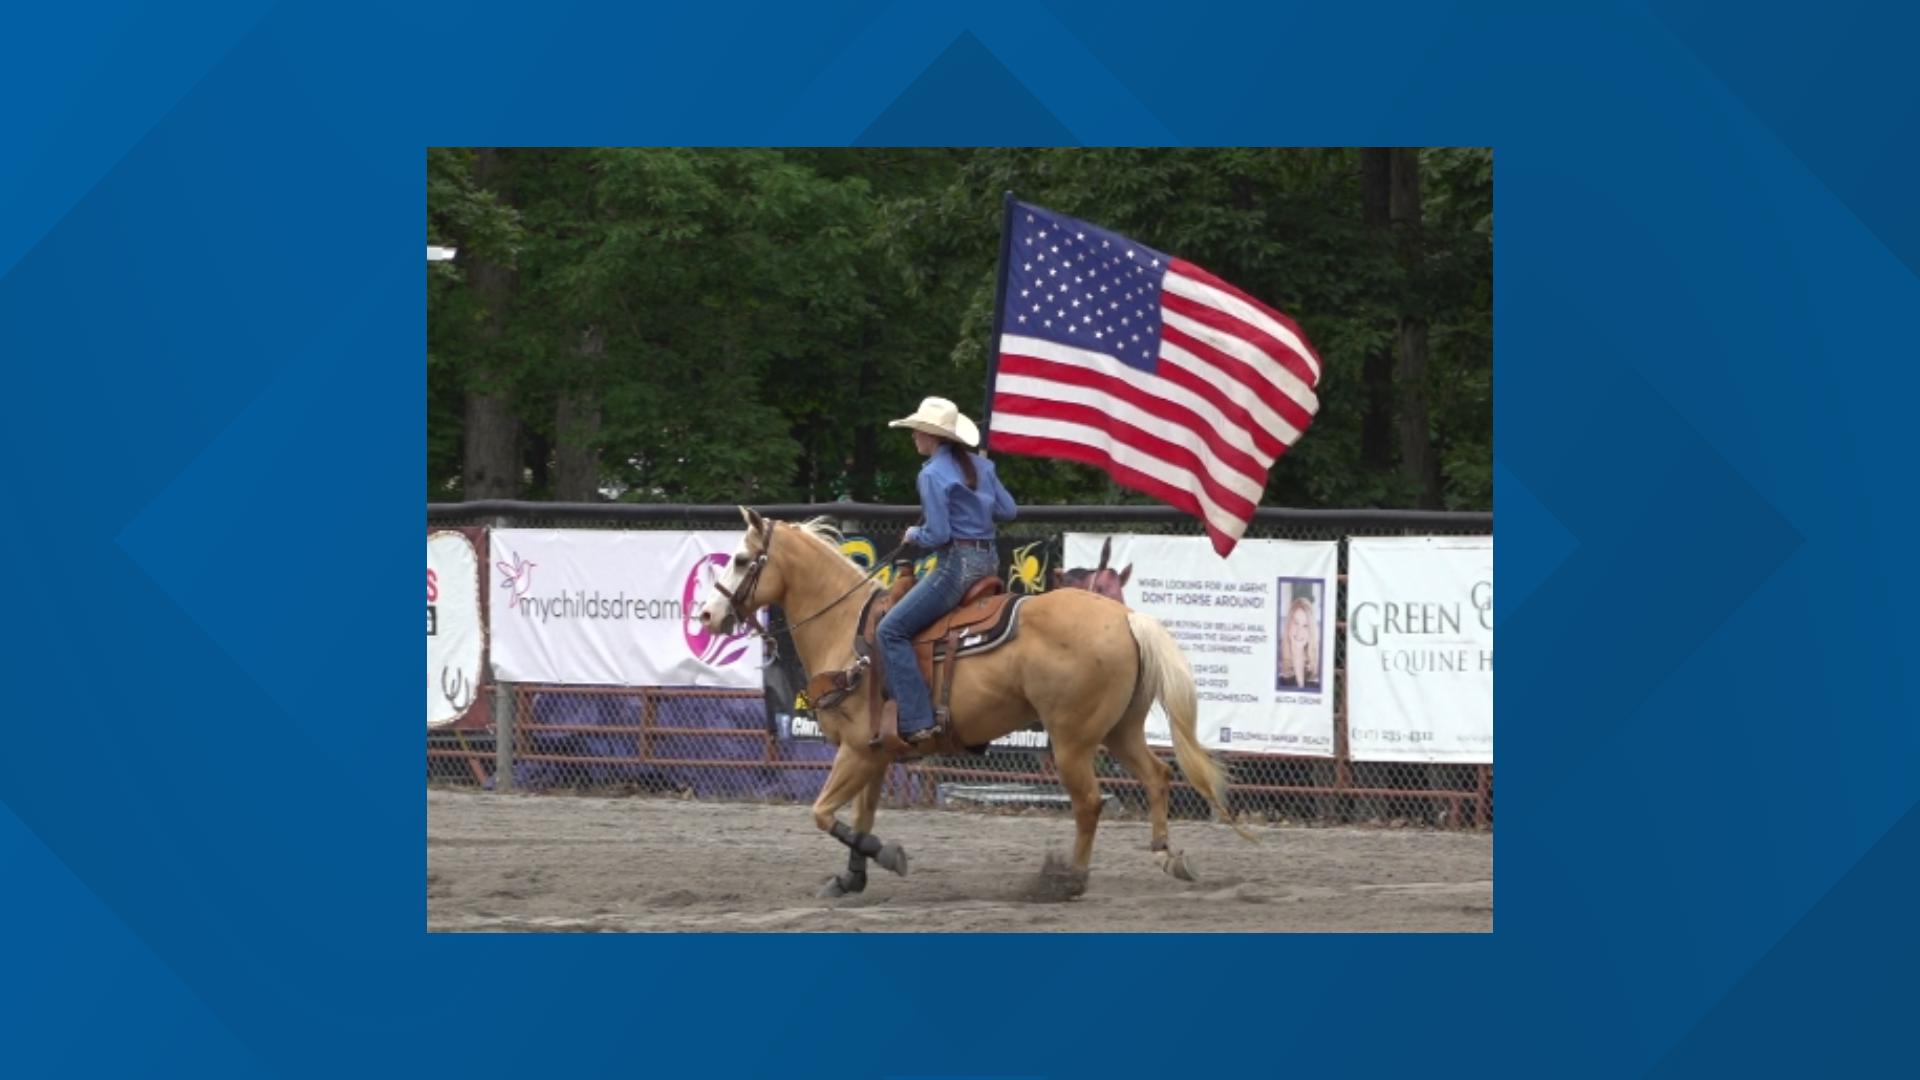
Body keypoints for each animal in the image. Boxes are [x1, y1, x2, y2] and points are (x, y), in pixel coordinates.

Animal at [691, 507, 1244, 895]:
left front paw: (887, 856)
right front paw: (852, 879)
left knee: (1089, 803)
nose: (706, 616)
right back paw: (1167, 856)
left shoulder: (855, 751)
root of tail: (1125, 617)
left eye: (741, 560)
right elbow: (861, 817)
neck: (848, 630)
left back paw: (1068, 879)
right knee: (1157, 775)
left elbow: (824, 815)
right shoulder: (875, 753)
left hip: (1072, 741)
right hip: (1119, 729)